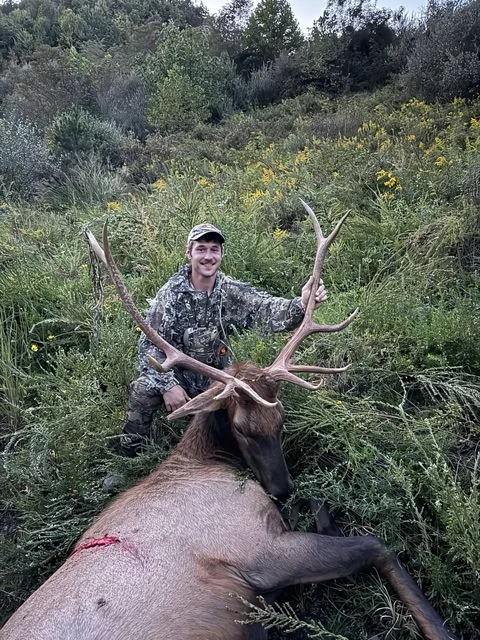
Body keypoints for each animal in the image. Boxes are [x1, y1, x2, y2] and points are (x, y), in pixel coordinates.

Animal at [1, 203, 457, 640]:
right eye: (241, 429)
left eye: (282, 419)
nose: (282, 489)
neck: (204, 461)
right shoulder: (258, 551)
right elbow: (376, 545)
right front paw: (439, 629)